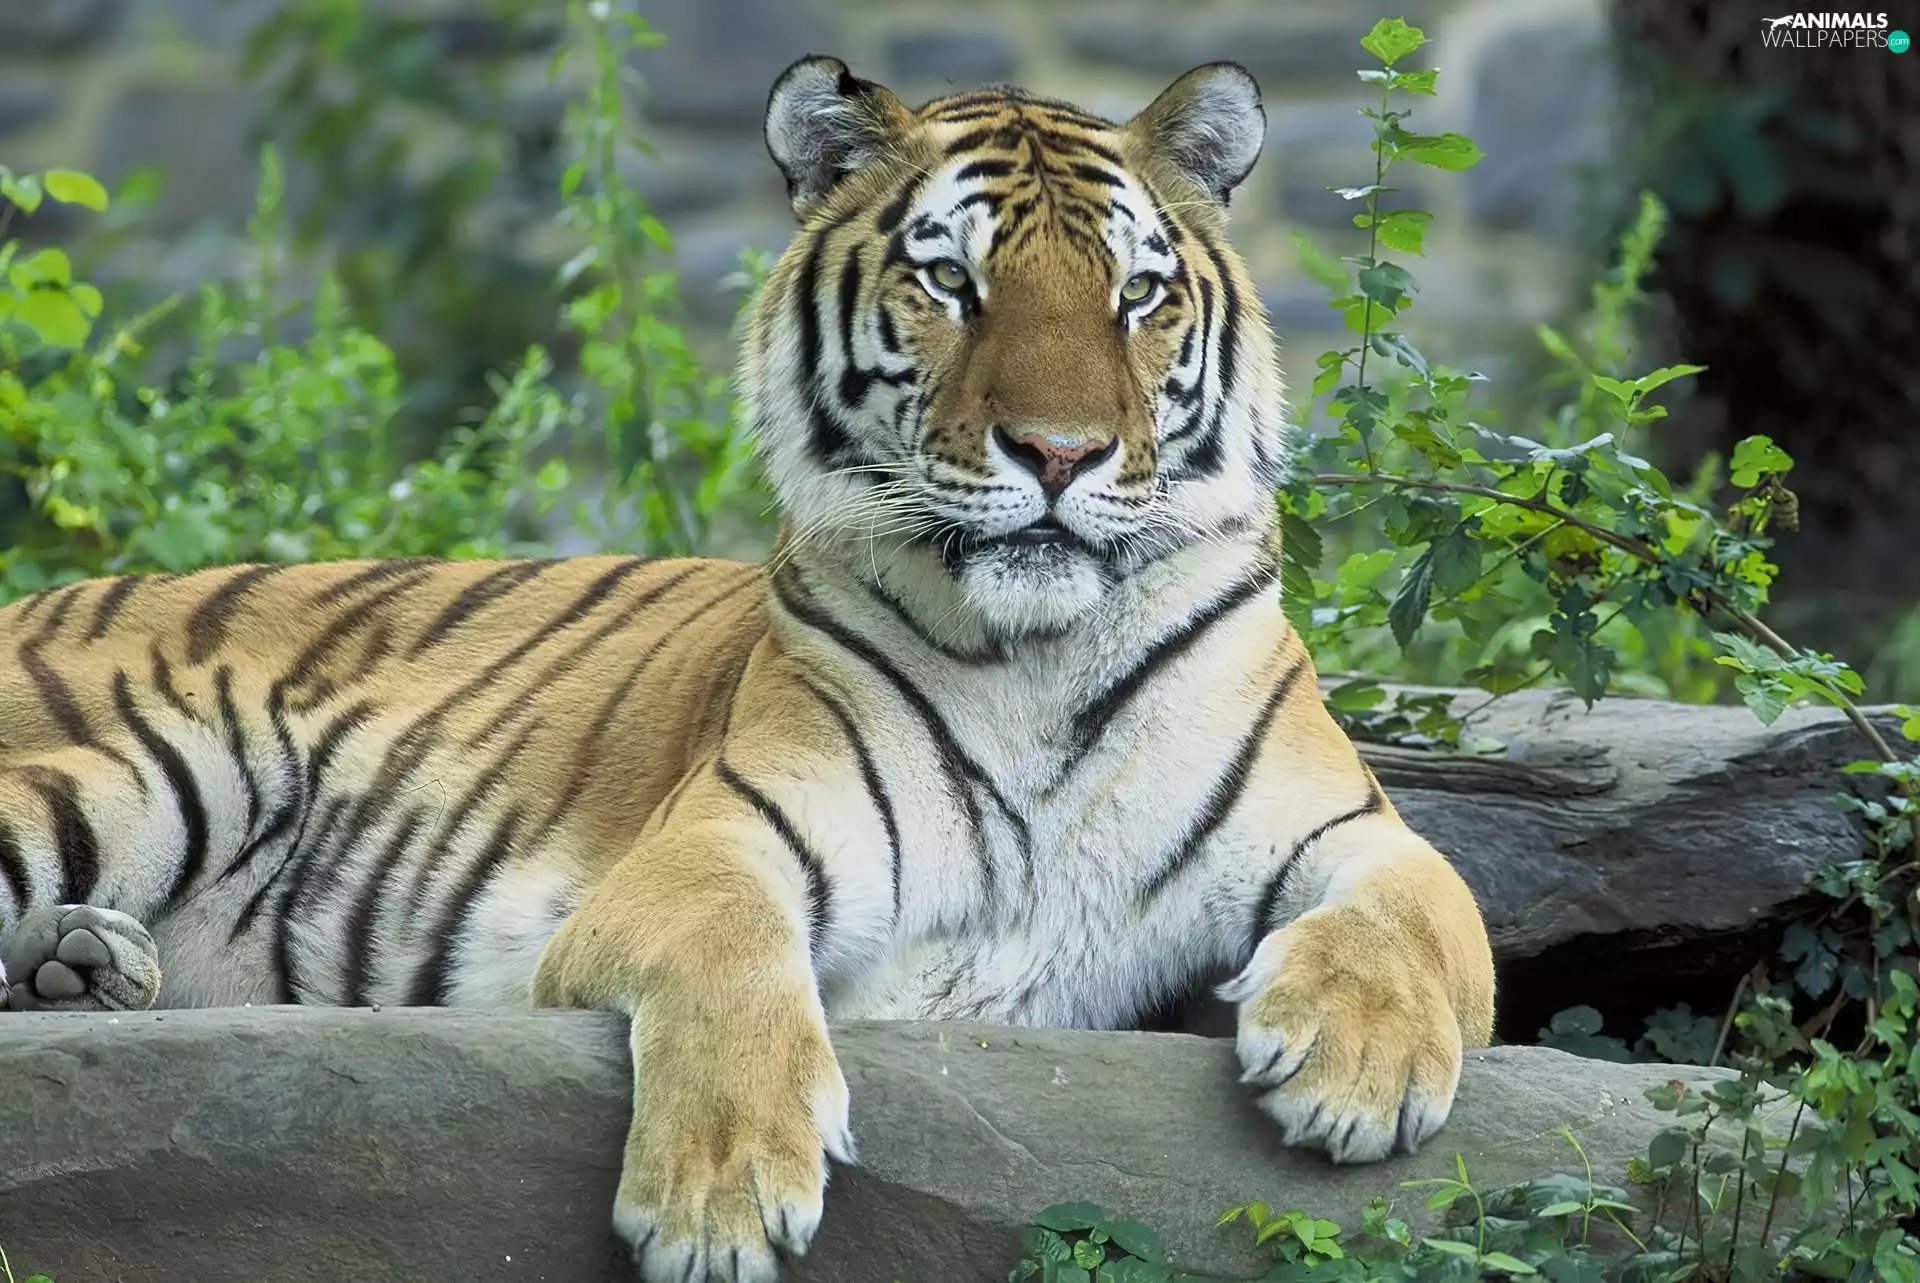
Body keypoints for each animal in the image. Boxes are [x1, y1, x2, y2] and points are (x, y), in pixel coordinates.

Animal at [0, 57, 1495, 1283]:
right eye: (952, 282)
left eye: (1139, 294)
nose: (1061, 454)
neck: (1038, 658)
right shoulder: (716, 839)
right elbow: (734, 954)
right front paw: (719, 1200)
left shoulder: (1350, 825)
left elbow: (1425, 909)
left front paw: (1356, 1070)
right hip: (176, 758)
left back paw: (82, 964)